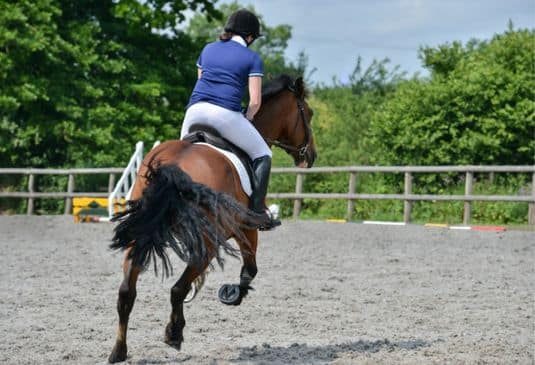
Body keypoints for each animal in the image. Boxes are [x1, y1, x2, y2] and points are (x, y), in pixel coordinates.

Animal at [108, 74, 318, 362]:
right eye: (307, 113)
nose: (311, 156)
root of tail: (174, 164)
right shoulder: (245, 229)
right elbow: (250, 268)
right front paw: (232, 294)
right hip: (207, 243)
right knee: (177, 289)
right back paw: (174, 334)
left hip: (141, 237)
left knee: (127, 292)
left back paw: (119, 351)